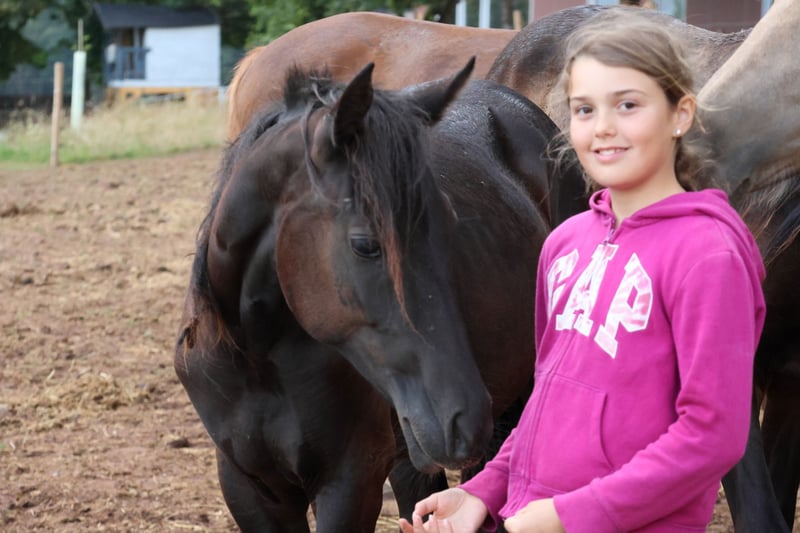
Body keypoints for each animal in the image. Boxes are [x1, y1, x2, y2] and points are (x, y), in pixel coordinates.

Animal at [175, 58, 583, 530]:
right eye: (365, 244)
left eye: (449, 225)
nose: (463, 416)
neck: (257, 358)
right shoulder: (248, 487)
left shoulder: (350, 482)